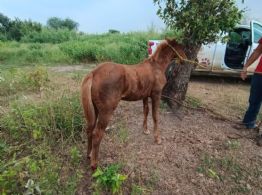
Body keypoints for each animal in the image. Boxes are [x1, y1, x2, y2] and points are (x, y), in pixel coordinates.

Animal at [81, 38, 185, 169]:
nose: (185, 59)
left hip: (94, 109)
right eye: (181, 47)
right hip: (106, 111)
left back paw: (89, 154)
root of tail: (94, 73)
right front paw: (157, 139)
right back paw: (95, 164)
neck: (156, 67)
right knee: (97, 134)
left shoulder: (145, 96)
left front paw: (145, 130)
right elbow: (155, 116)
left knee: (89, 130)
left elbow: (146, 111)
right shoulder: (156, 95)